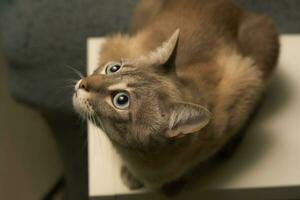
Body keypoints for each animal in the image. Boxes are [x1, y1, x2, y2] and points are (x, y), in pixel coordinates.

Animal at [72, 0, 278, 191]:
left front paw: (174, 184)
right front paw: (130, 175)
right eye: (113, 68)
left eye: (121, 100)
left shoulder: (244, 89)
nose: (83, 84)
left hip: (262, 54)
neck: (144, 162)